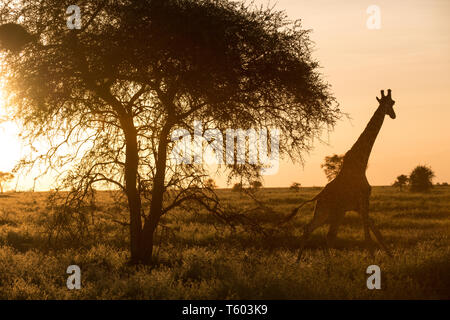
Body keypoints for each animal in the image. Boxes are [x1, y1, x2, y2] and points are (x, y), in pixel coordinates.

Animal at [286, 89, 396, 262]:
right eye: (392, 103)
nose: (393, 115)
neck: (361, 163)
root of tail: (319, 196)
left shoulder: (359, 205)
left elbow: (376, 232)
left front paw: (392, 257)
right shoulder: (363, 200)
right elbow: (368, 234)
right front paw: (373, 259)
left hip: (325, 212)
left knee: (310, 229)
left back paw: (299, 262)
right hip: (332, 212)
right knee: (326, 235)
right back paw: (324, 263)